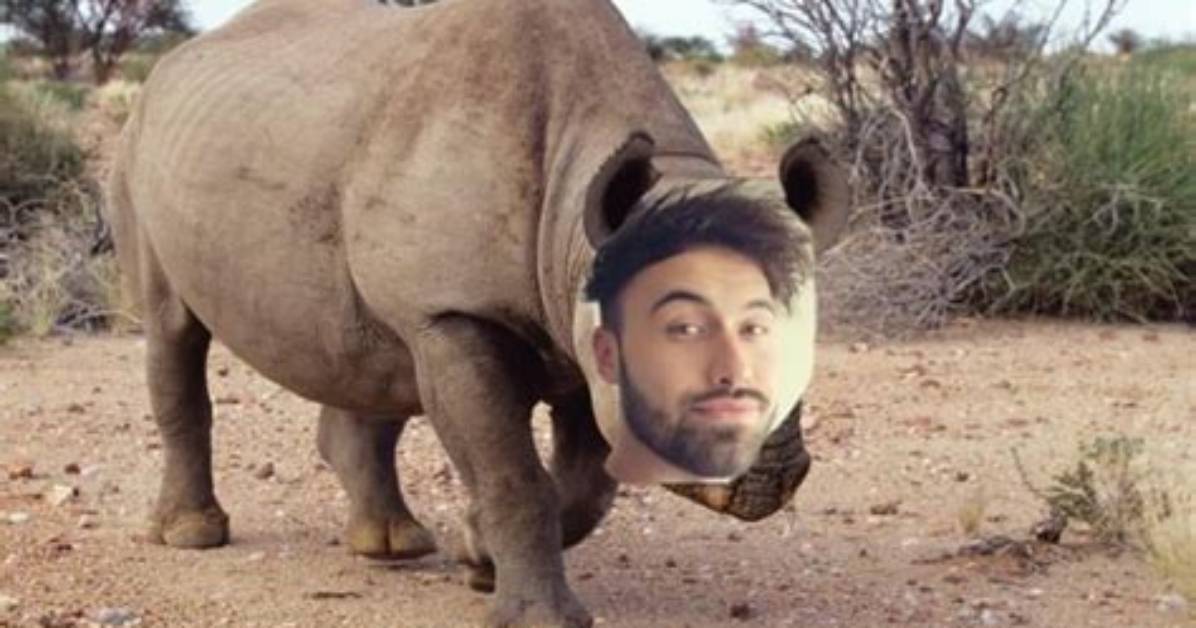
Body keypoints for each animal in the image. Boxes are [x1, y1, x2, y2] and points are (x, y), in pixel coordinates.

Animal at [104, 0, 849, 625]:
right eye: (679, 337)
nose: (776, 476)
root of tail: (172, 65)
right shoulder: (453, 313)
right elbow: (516, 477)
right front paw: (535, 615)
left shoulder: (574, 322)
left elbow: (584, 486)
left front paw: (476, 555)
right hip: (137, 154)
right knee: (174, 330)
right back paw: (193, 536)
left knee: (371, 358)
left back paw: (393, 546)